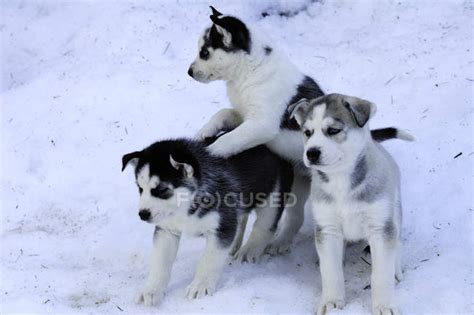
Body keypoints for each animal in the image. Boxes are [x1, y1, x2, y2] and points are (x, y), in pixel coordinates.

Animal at [121, 138, 292, 306]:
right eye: (140, 188)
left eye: (162, 190)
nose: (143, 214)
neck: (186, 206)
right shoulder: (166, 230)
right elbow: (160, 262)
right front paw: (151, 290)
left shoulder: (222, 226)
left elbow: (209, 259)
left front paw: (200, 285)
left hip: (273, 195)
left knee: (265, 224)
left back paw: (250, 250)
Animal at [187, 6, 410, 256]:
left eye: (205, 52)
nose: (189, 71)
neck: (251, 69)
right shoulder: (243, 115)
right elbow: (223, 113)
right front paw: (204, 132)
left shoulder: (261, 124)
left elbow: (232, 139)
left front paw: (213, 151)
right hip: (299, 183)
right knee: (295, 217)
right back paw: (281, 242)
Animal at [286, 94, 412, 315]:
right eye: (307, 133)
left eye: (333, 130)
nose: (311, 153)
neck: (340, 181)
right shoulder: (327, 228)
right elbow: (330, 271)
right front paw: (332, 303)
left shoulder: (380, 227)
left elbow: (381, 274)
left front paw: (384, 305)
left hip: (394, 213)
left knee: (397, 243)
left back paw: (396, 269)